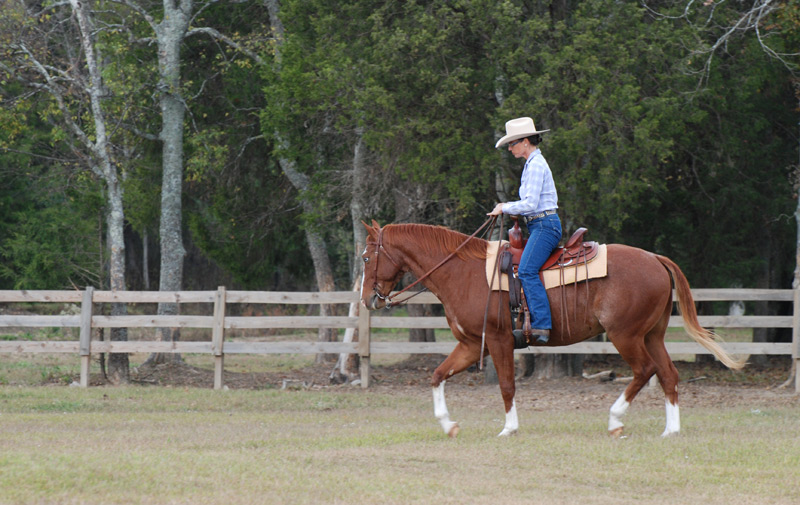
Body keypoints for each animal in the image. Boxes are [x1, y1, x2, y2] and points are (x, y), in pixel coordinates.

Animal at [360, 220, 748, 438]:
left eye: (365, 257)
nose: (367, 299)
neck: (463, 272)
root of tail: (654, 258)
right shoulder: (472, 344)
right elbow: (438, 375)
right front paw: (448, 425)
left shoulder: (498, 340)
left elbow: (506, 385)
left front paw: (509, 428)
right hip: (653, 335)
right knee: (668, 374)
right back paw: (671, 430)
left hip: (625, 335)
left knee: (645, 370)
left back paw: (615, 421)